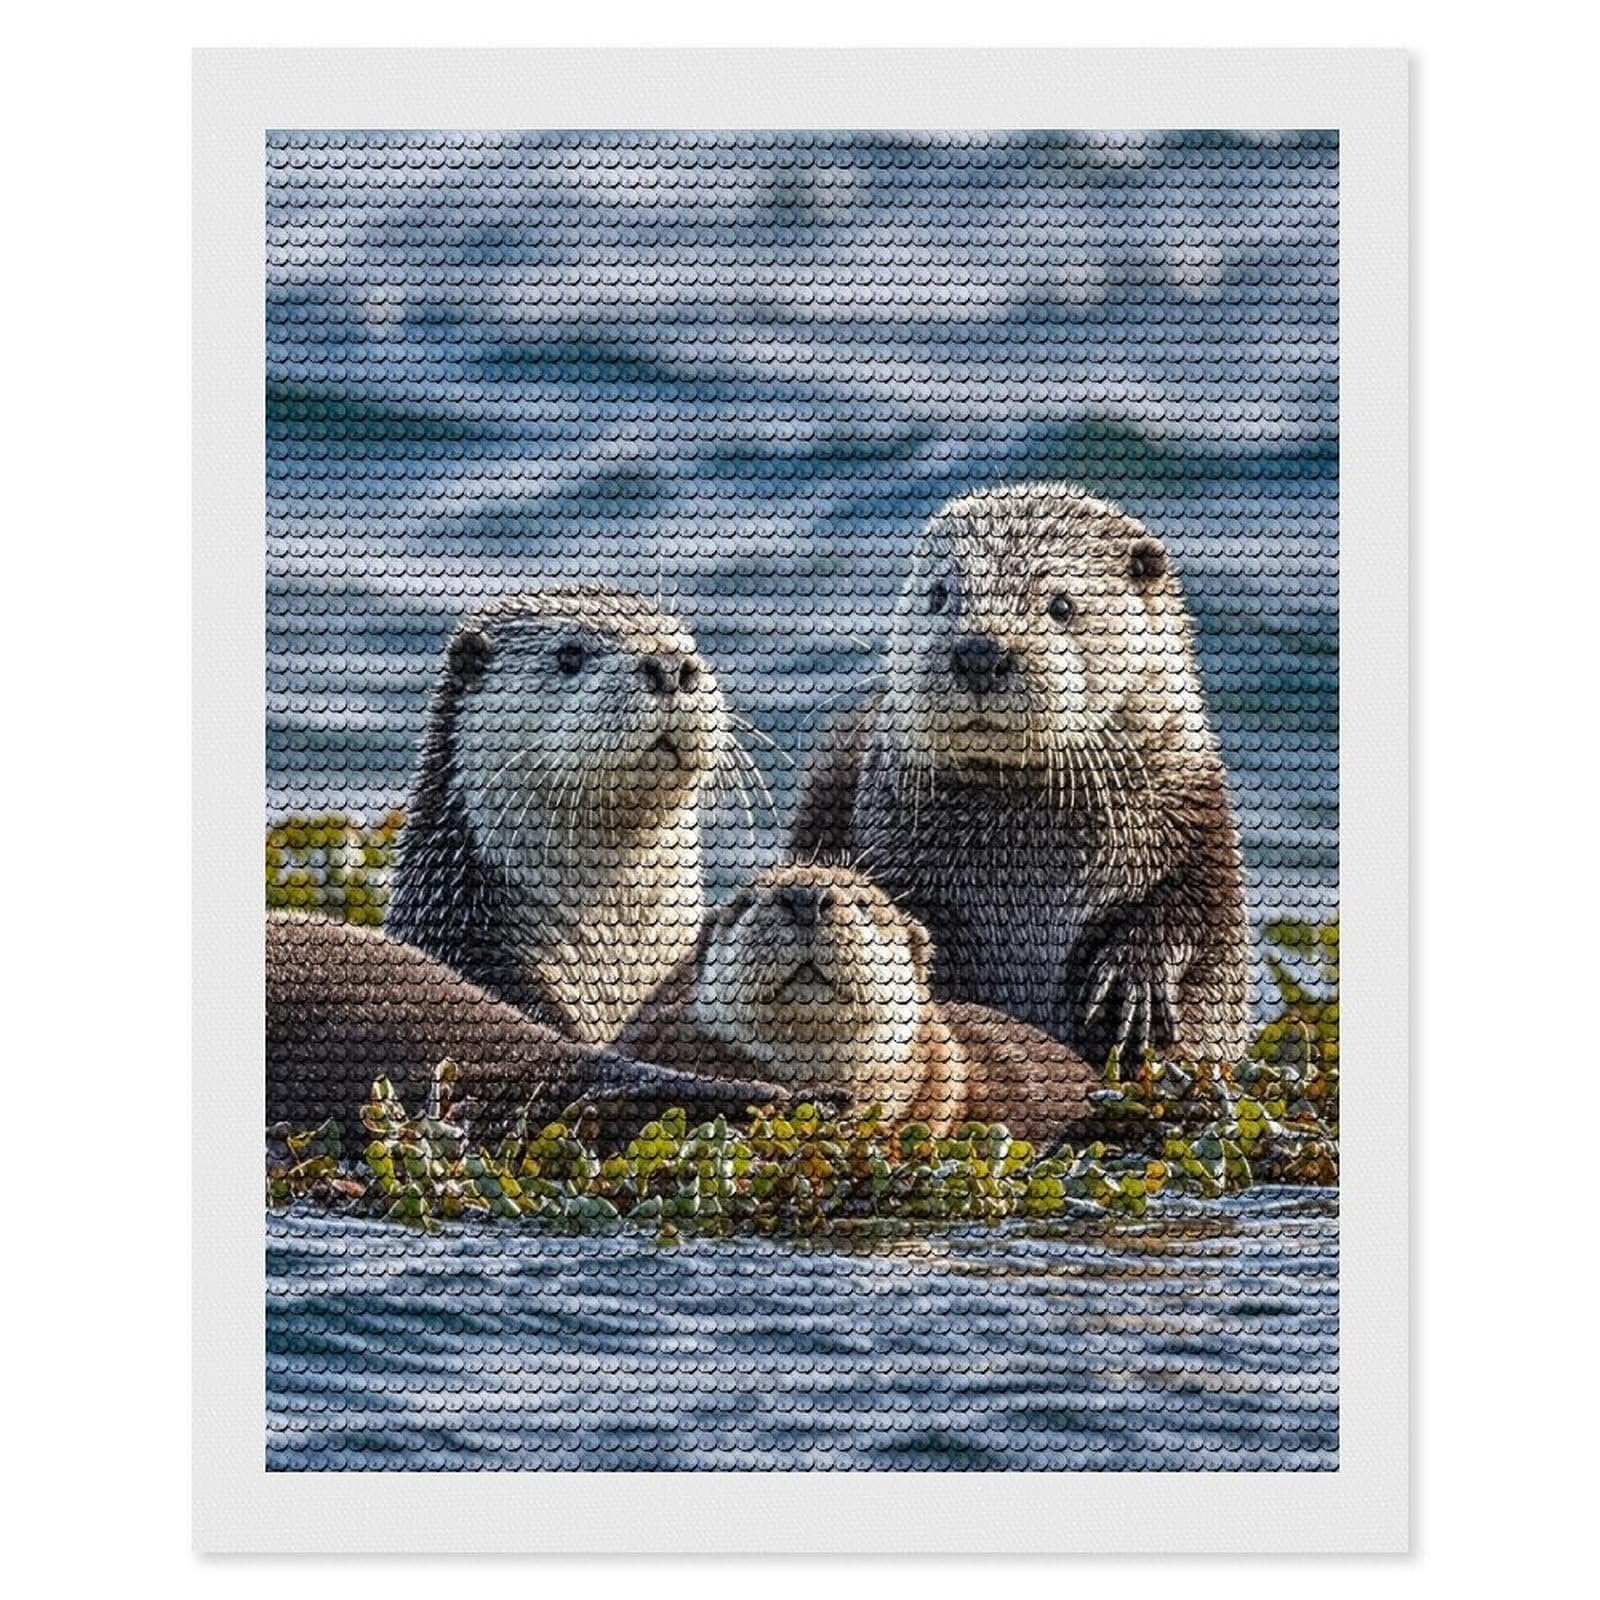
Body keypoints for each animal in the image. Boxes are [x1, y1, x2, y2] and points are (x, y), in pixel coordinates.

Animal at [790, 483, 1250, 1070]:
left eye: (1061, 605)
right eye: (939, 595)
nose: (980, 652)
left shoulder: (1197, 825)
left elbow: (1200, 922)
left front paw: (1138, 979)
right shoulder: (897, 851)